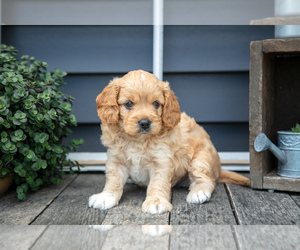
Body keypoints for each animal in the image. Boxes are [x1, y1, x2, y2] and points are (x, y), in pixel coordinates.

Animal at [88, 70, 250, 215]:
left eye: (156, 104)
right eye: (128, 104)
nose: (145, 123)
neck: (138, 141)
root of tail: (218, 168)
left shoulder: (162, 162)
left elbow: (157, 183)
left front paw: (156, 202)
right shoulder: (116, 161)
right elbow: (113, 181)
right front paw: (106, 196)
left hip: (200, 159)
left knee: (206, 179)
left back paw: (199, 192)